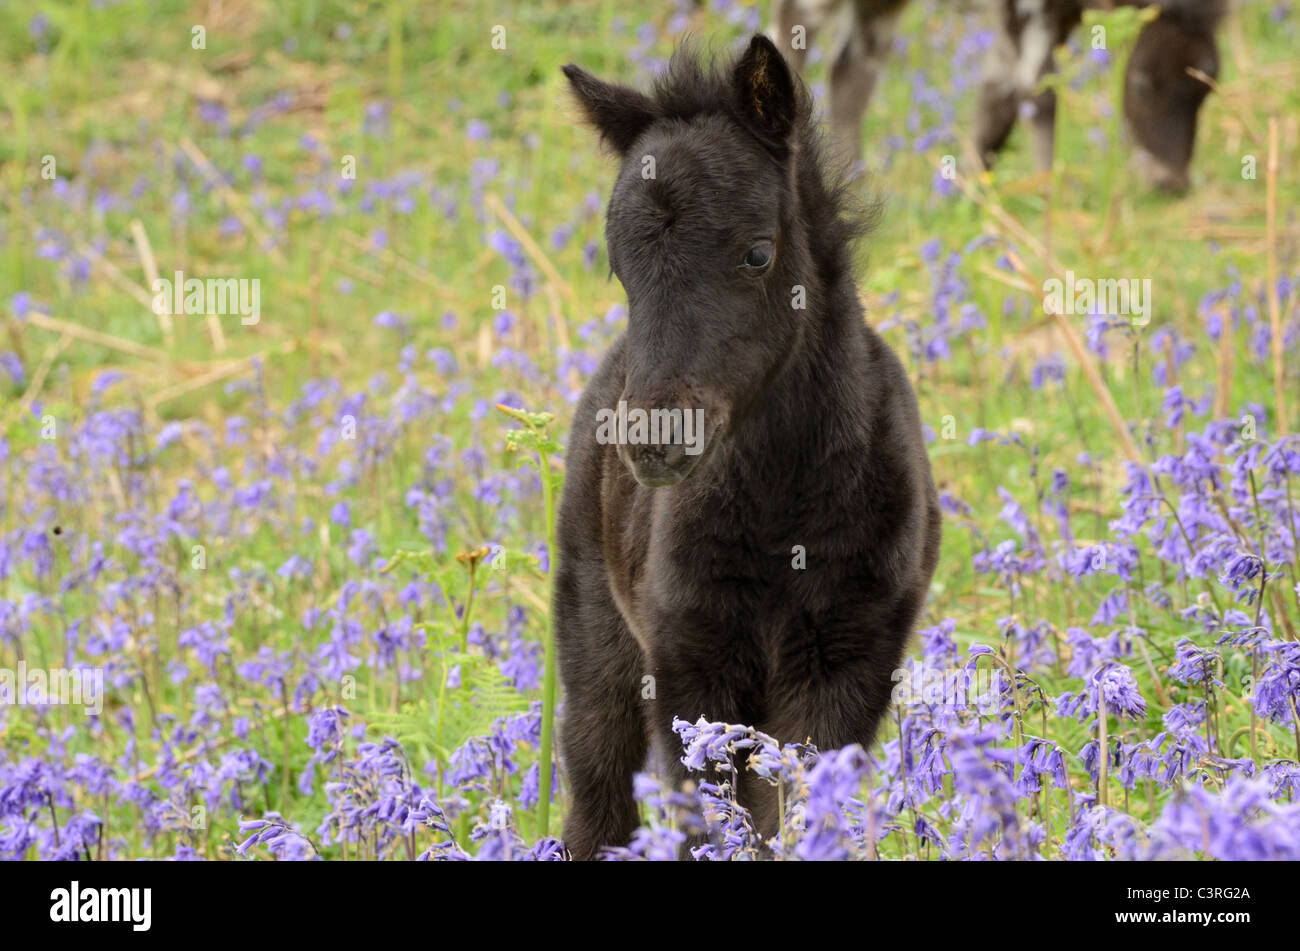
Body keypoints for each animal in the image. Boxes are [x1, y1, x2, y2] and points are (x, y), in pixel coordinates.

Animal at [556, 37, 935, 857]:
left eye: (758, 255)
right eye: (619, 267)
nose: (654, 441)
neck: (783, 505)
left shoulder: (848, 663)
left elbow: (789, 811)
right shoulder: (688, 667)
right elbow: (717, 817)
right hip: (596, 641)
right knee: (596, 793)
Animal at [764, 0, 1222, 190]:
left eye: (1208, 87)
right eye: (1141, 83)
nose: (1171, 182)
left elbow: (998, 98)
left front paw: (975, 189)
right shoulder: (1027, 12)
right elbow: (1037, 94)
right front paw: (1048, 191)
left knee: (850, 72)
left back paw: (855, 179)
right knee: (788, 36)